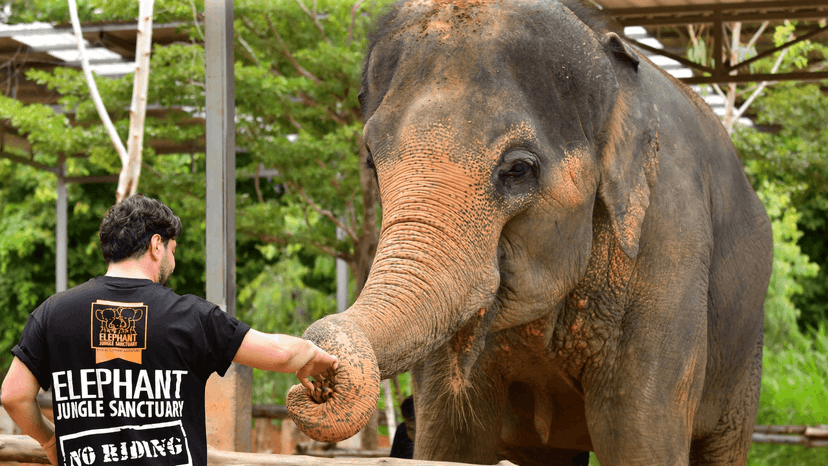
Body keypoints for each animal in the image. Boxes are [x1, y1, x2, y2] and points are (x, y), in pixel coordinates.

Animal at [286, 0, 774, 465]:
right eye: (371, 161)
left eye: (518, 169)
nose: (316, 381)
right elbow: (451, 438)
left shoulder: (668, 237)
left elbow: (638, 437)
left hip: (746, 356)